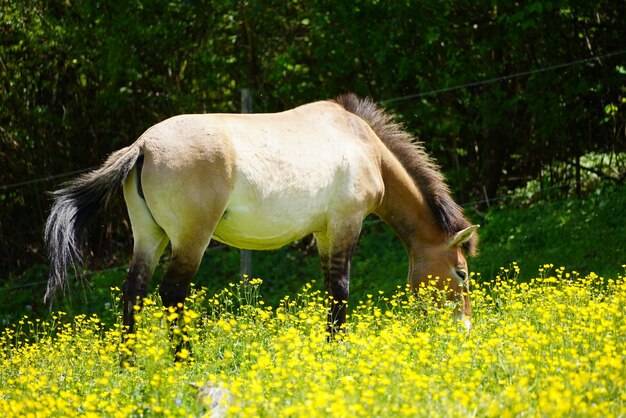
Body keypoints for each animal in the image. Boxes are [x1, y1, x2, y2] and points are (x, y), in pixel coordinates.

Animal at [45, 93, 478, 342]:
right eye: (461, 274)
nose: (465, 328)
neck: (362, 143)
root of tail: (143, 146)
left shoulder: (324, 233)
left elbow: (330, 290)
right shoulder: (345, 224)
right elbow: (340, 290)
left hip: (149, 238)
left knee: (133, 293)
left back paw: (129, 366)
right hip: (191, 239)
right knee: (172, 293)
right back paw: (184, 363)